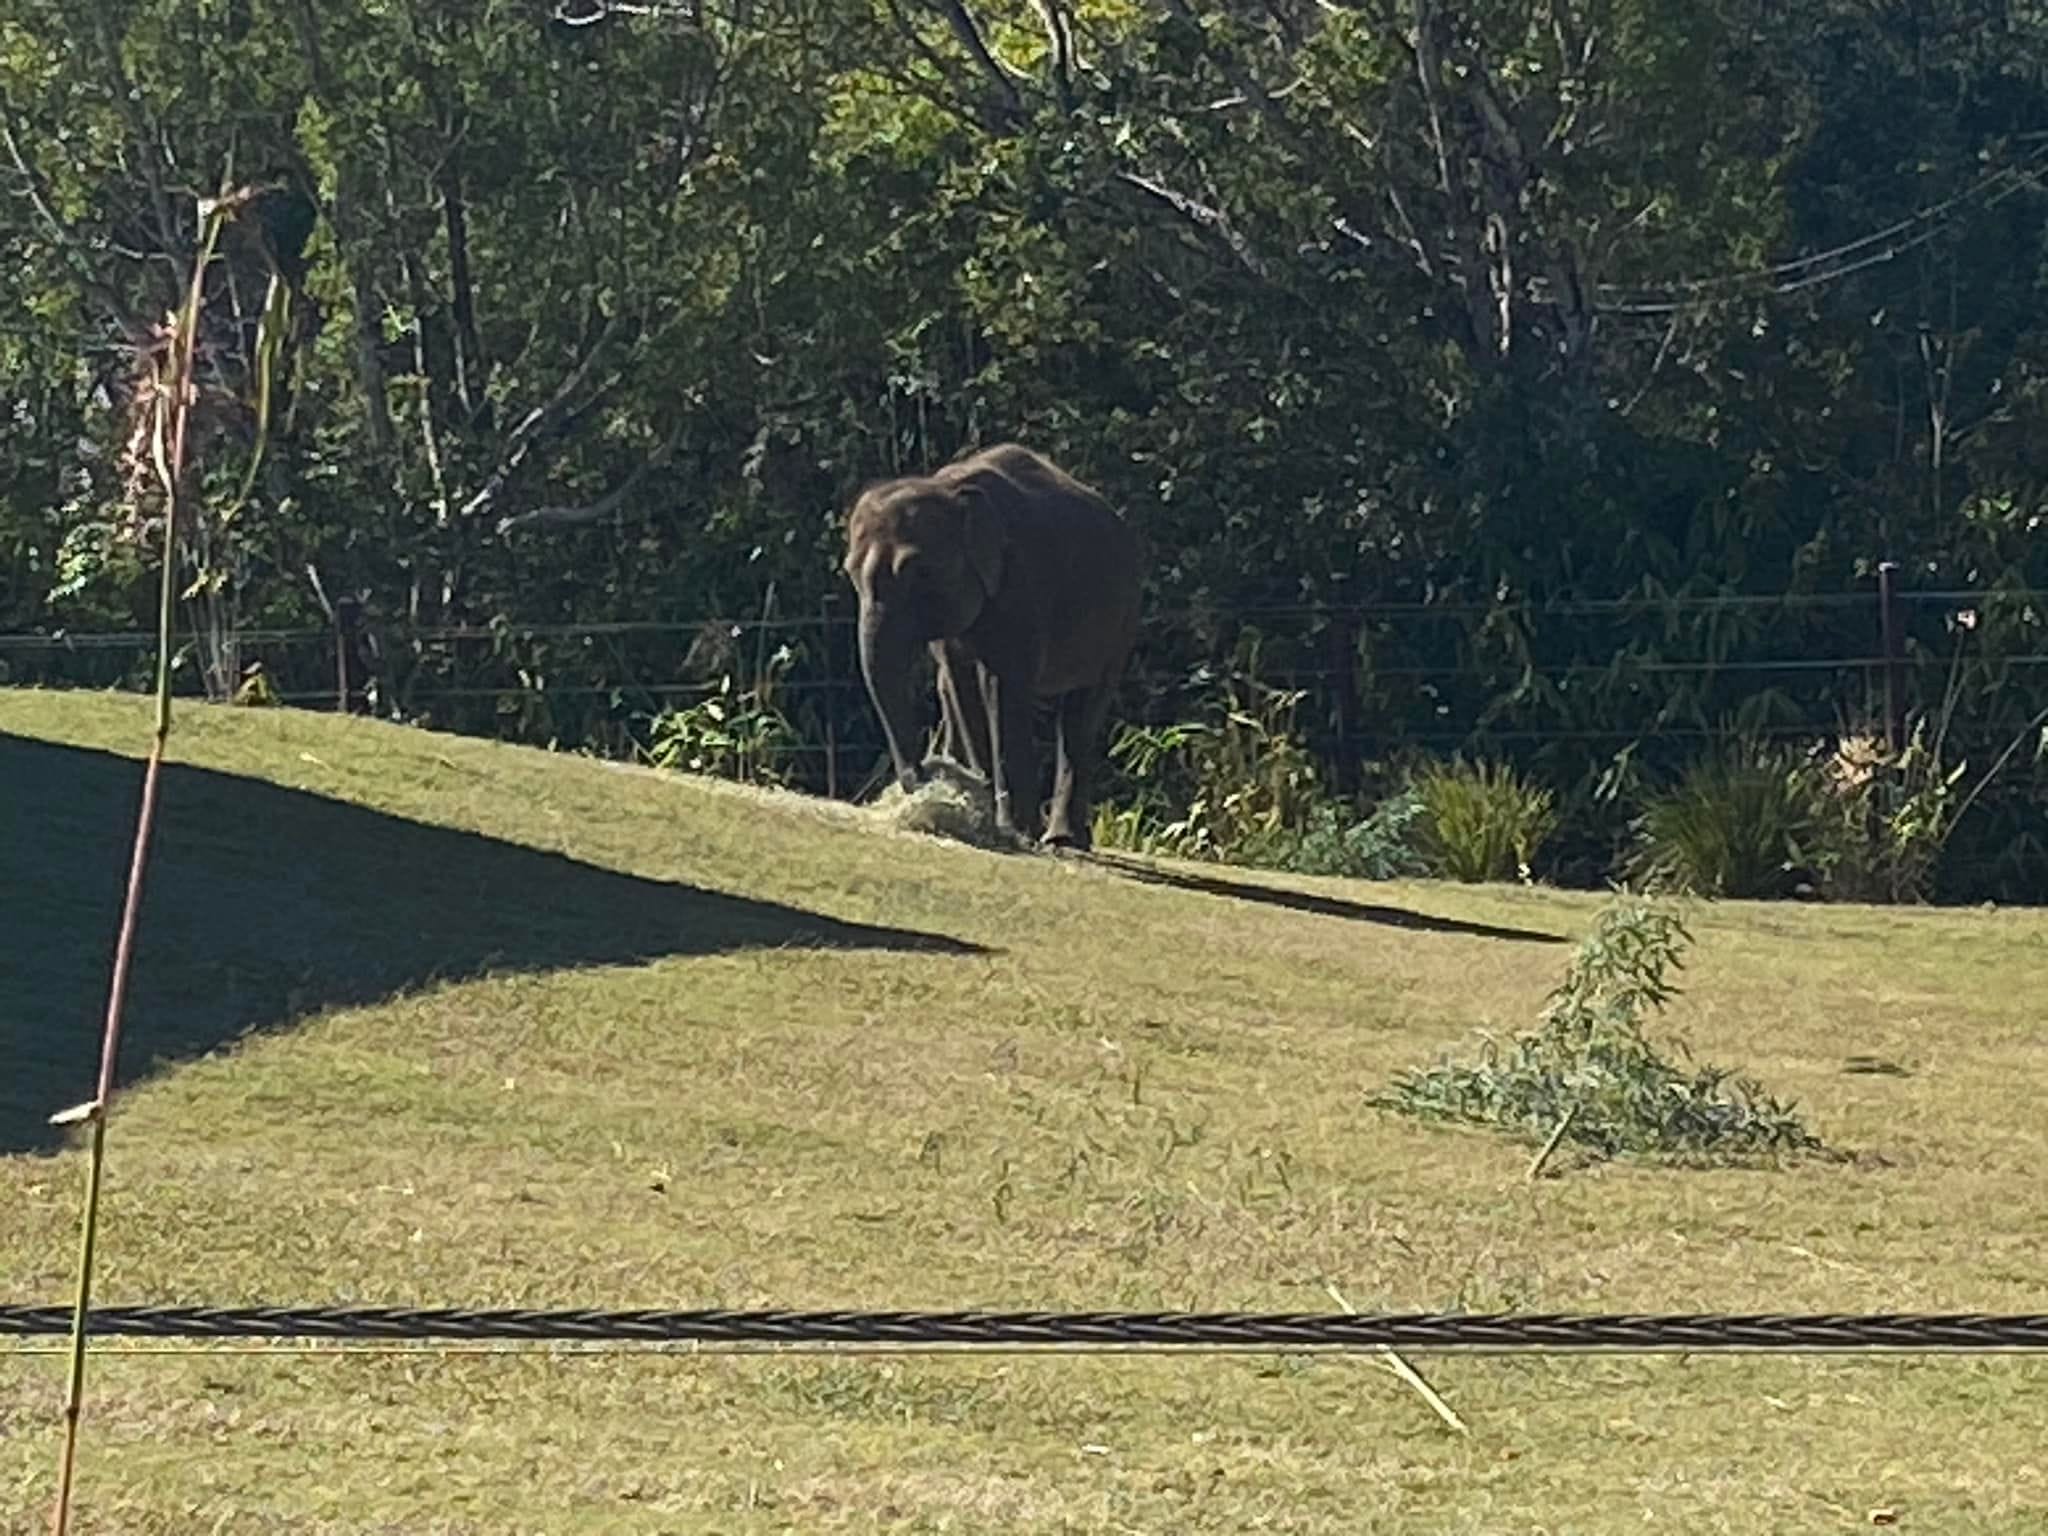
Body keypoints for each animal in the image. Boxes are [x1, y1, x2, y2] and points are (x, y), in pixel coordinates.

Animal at [839, 442, 1146, 856]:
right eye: (850, 573)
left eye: (920, 572)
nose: (923, 773)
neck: (947, 488)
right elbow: (960, 680)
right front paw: (985, 809)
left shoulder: (1023, 582)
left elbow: (1001, 687)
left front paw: (1014, 828)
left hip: (1122, 621)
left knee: (1084, 711)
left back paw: (1064, 840)